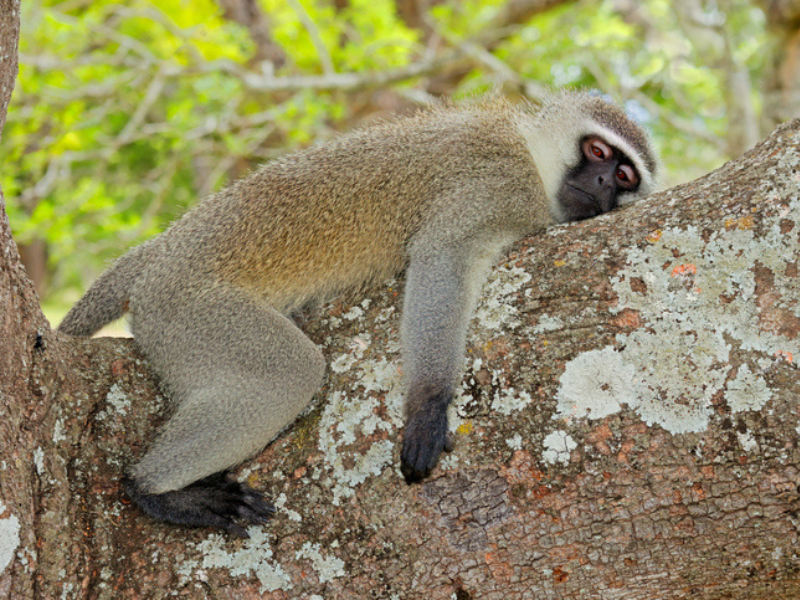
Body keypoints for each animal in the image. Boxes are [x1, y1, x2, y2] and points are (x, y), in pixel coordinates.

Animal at [58, 91, 659, 537]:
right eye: (599, 155)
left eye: (625, 178)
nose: (603, 184)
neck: (529, 153)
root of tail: (159, 257)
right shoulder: (495, 186)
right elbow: (441, 258)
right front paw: (428, 406)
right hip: (187, 311)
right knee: (290, 373)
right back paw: (151, 489)